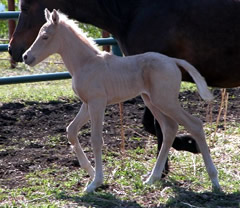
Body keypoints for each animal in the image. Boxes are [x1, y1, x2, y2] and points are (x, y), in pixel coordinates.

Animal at [8, 0, 240, 176]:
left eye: (45, 36)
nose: (22, 54)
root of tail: (173, 61)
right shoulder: (87, 103)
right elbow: (71, 131)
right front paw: (90, 173)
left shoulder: (98, 103)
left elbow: (99, 138)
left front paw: (97, 180)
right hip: (153, 99)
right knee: (170, 127)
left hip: (164, 100)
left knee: (192, 125)